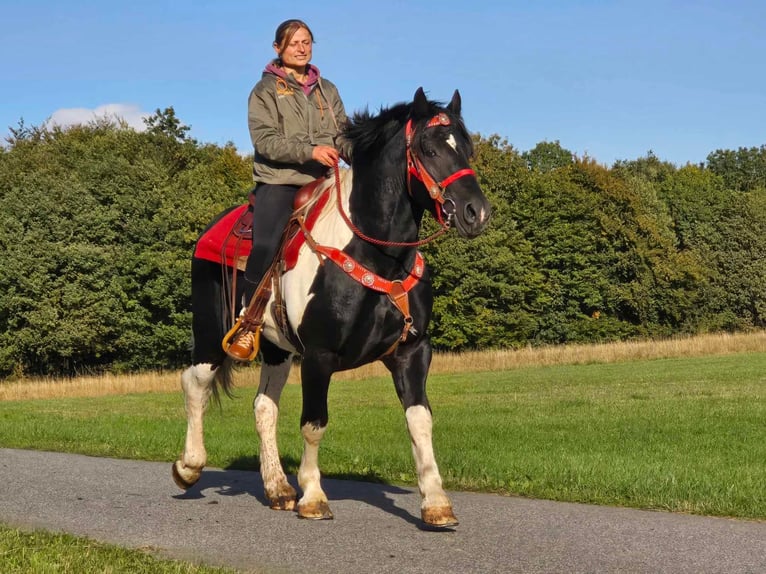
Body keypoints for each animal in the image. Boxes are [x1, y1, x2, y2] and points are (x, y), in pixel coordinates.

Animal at [172, 86, 492, 532]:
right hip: (211, 334)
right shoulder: (319, 356)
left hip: (276, 349)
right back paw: (189, 468)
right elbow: (314, 423)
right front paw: (313, 497)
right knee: (195, 383)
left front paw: (436, 502)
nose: (475, 213)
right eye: (428, 149)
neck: (375, 255)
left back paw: (277, 488)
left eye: (466, 148)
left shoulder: (412, 351)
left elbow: (420, 419)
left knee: (264, 407)